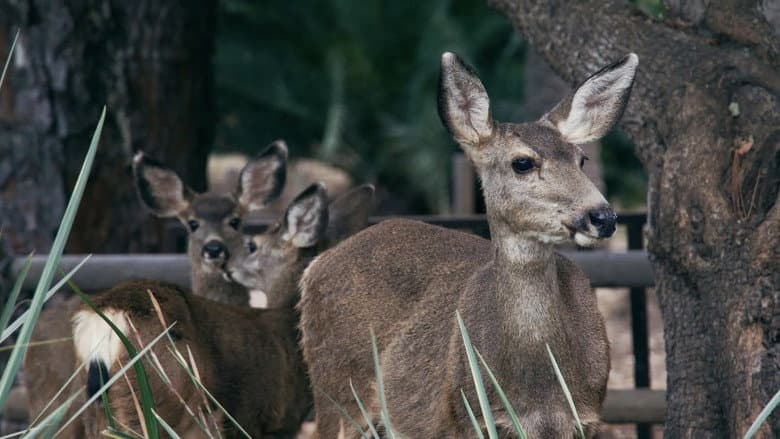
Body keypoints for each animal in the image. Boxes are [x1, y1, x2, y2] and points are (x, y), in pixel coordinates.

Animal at [298, 52, 638, 438]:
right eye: (522, 162)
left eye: (581, 159)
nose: (603, 216)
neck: (540, 387)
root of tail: (315, 266)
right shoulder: (468, 416)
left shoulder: (586, 417)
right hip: (336, 390)